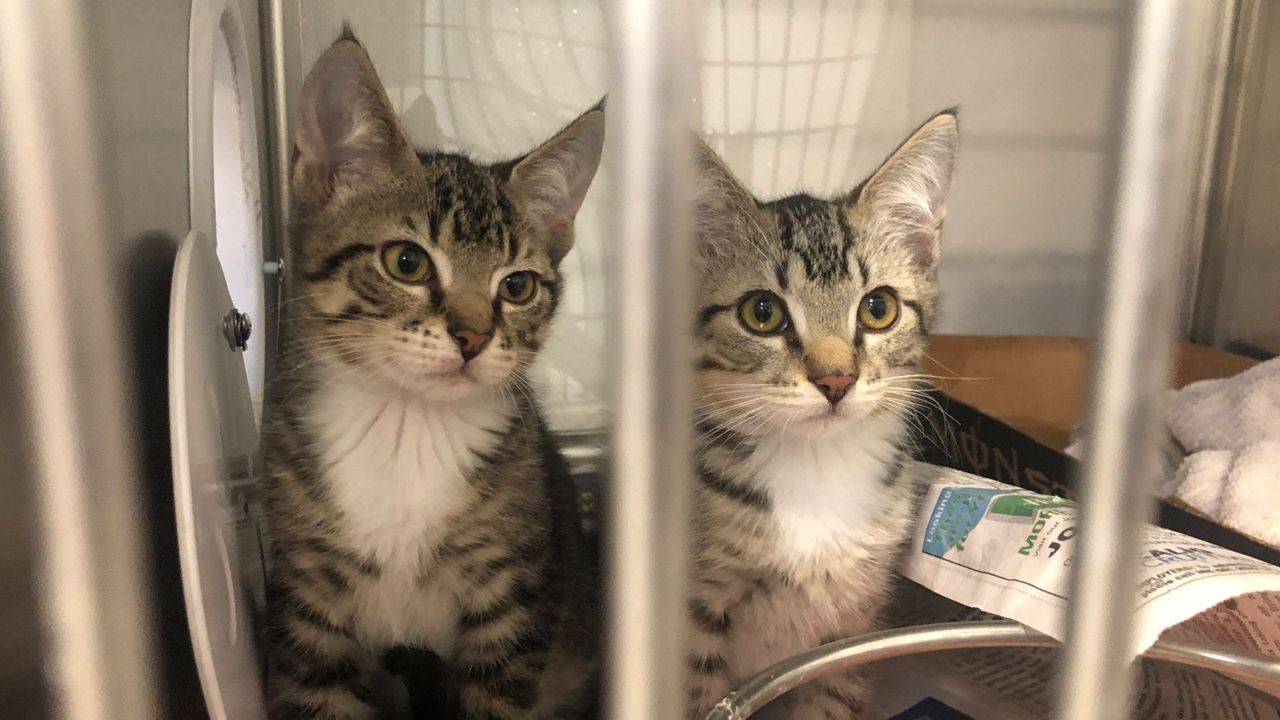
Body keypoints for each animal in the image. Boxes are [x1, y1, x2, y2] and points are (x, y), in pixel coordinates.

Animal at [262, 33, 606, 717]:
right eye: (407, 262)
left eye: (518, 286)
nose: (473, 338)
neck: (405, 425)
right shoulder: (305, 594)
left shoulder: (510, 600)